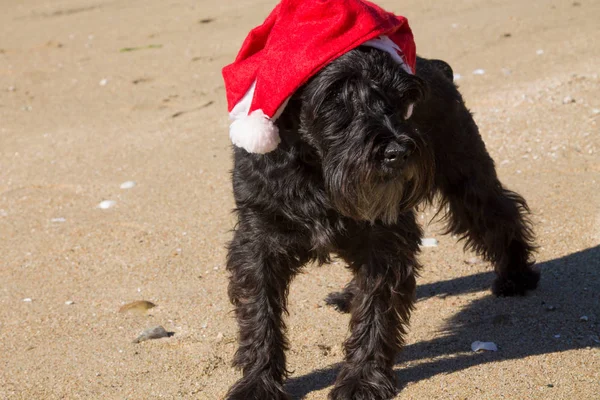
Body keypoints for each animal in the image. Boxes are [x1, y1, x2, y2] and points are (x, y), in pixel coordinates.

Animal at [225, 46, 540, 396]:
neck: (317, 169)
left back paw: (516, 275)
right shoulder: (258, 243)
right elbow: (260, 315)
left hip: (465, 174)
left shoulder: (385, 243)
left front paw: (362, 379)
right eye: (335, 97)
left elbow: (376, 311)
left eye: (403, 97)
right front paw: (257, 382)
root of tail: (437, 67)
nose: (398, 152)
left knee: (500, 214)